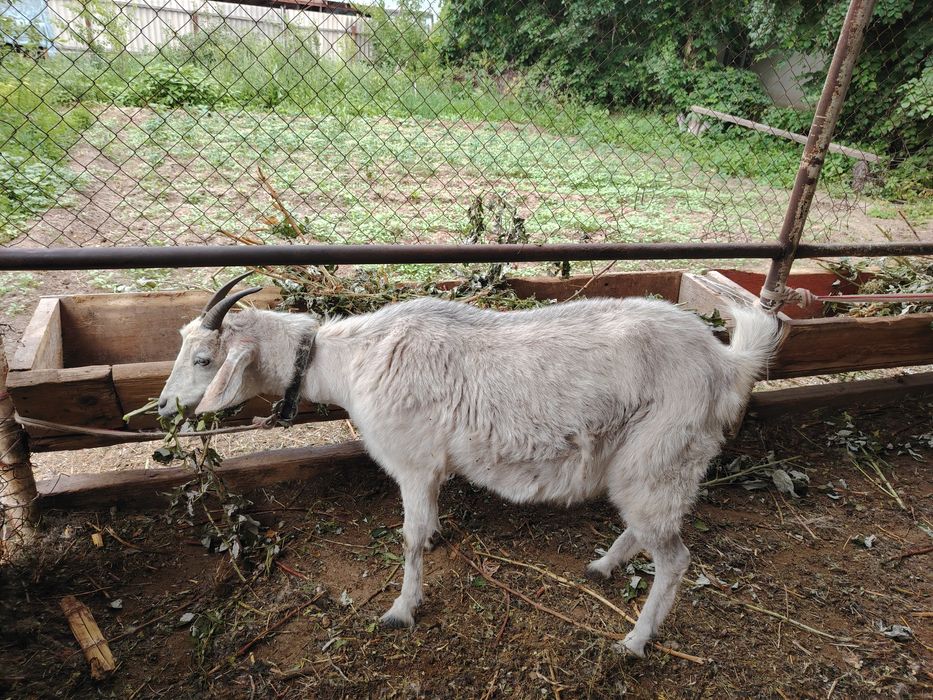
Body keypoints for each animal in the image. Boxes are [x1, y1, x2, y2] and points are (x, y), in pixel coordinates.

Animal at [159, 273, 783, 656]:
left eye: (204, 358)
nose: (163, 407)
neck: (353, 359)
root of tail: (726, 361)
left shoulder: (411, 462)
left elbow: (408, 538)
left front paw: (401, 610)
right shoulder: (430, 469)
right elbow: (427, 524)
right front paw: (435, 543)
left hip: (662, 455)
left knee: (675, 558)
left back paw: (634, 641)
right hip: (647, 463)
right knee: (644, 528)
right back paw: (604, 567)